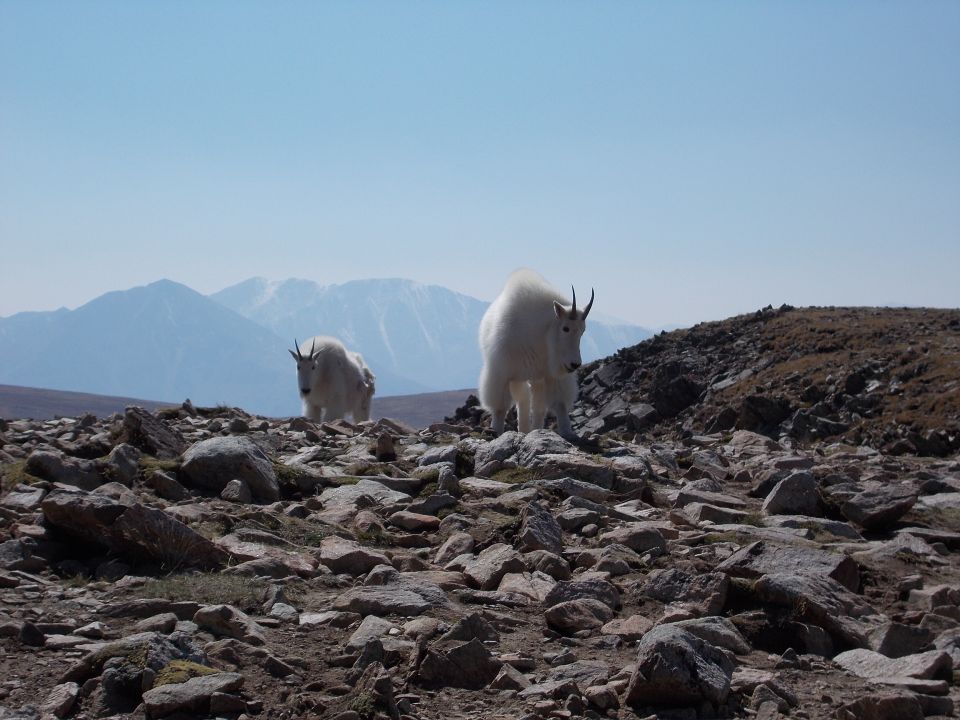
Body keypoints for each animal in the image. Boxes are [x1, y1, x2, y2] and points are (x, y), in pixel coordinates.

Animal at [478, 269, 593, 439]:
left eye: (582, 331)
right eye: (565, 328)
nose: (575, 364)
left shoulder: (553, 375)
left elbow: (559, 403)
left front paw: (568, 432)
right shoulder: (501, 373)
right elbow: (500, 407)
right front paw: (496, 430)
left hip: (537, 378)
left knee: (537, 406)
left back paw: (534, 429)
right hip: (519, 377)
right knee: (524, 400)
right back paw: (524, 429)